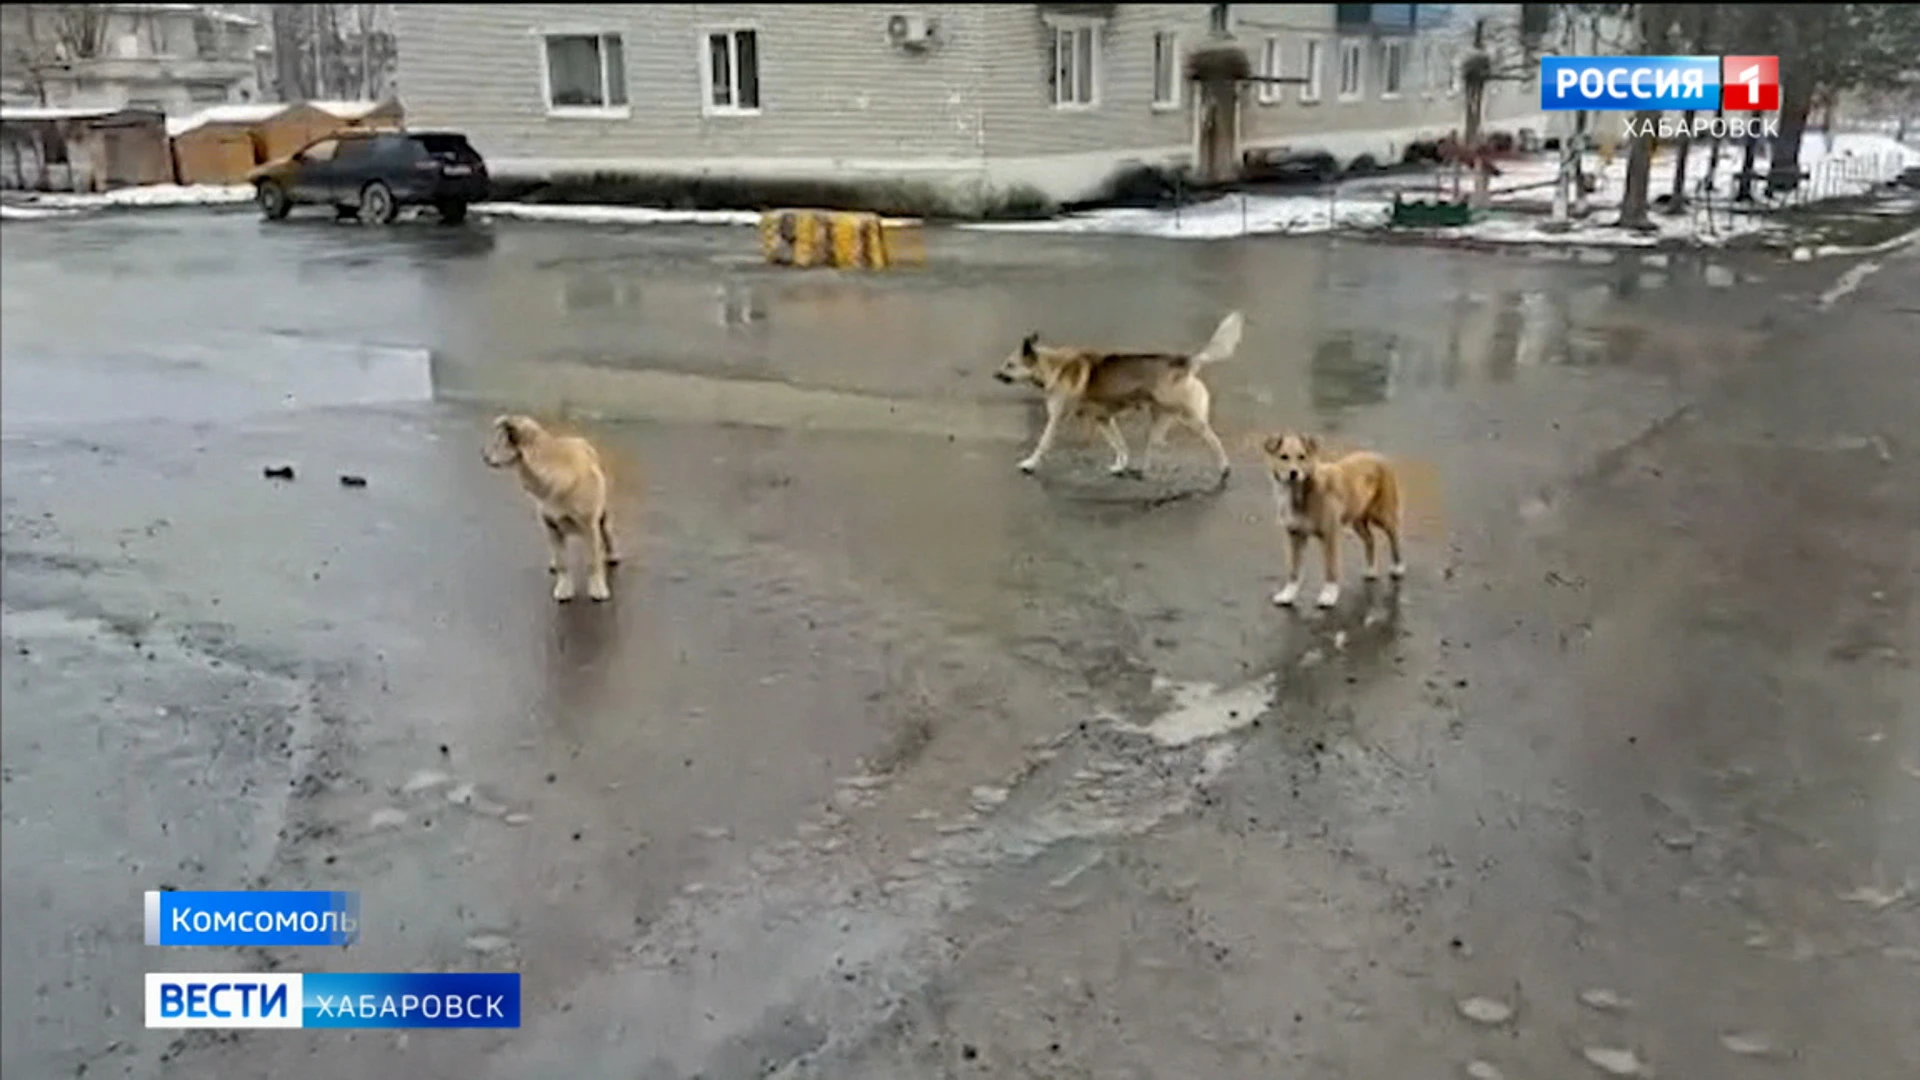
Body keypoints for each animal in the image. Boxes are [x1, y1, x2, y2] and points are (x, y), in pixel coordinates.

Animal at [483, 411, 618, 599]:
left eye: (497, 443)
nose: (484, 456)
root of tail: (579, 439)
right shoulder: (551, 526)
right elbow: (562, 562)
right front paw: (564, 588)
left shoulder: (589, 527)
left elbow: (593, 562)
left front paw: (597, 588)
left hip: (602, 517)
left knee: (606, 533)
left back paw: (612, 554)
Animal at [990, 309, 1244, 480]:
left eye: (1010, 364)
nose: (994, 374)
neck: (1053, 366)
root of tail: (1184, 362)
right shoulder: (1104, 419)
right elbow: (1120, 445)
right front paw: (1120, 466)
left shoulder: (1057, 419)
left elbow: (1043, 443)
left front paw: (1030, 464)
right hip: (1160, 419)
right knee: (1154, 446)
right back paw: (1143, 470)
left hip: (1189, 417)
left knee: (1214, 439)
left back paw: (1224, 468)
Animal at [1259, 430, 1413, 611]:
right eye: (1284, 457)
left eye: (1302, 457)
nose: (1293, 473)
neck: (1302, 491)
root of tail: (1377, 456)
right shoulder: (1295, 536)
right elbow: (1294, 570)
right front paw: (1288, 595)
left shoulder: (1329, 535)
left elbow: (1331, 569)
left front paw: (1328, 596)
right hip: (1357, 519)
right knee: (1370, 540)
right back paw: (1370, 570)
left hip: (1383, 515)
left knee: (1395, 538)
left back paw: (1398, 567)